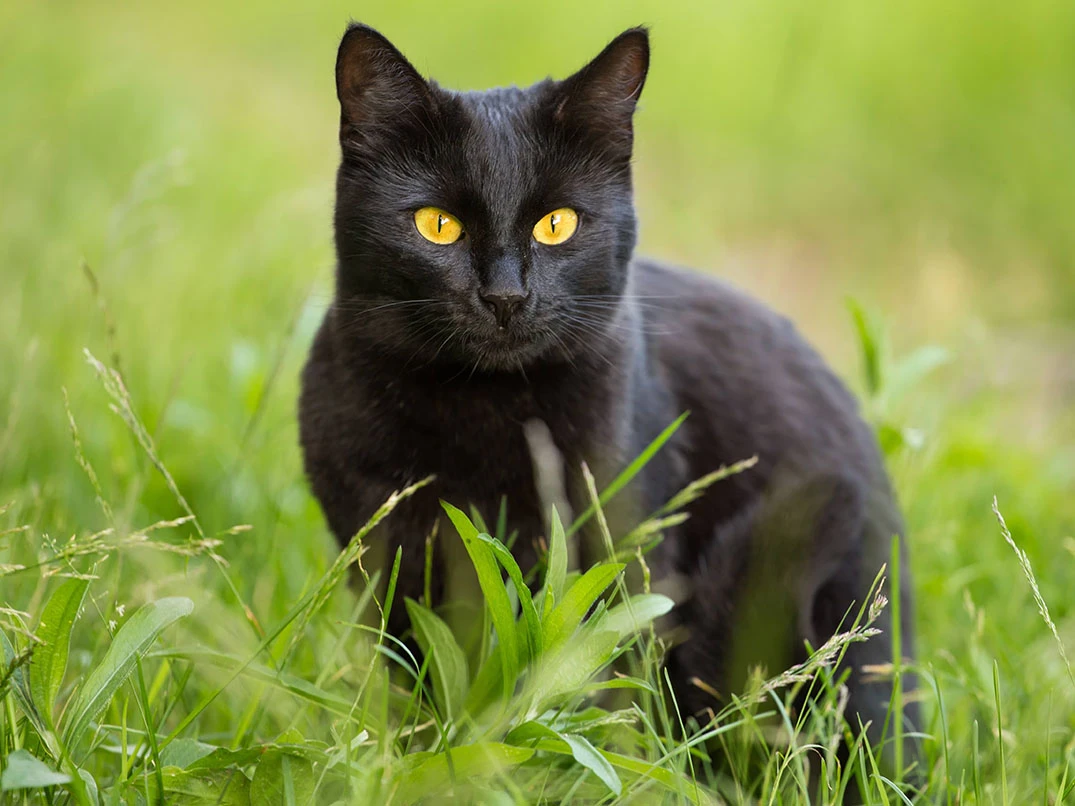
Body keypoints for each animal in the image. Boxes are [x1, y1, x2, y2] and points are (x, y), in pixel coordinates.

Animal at [301, 20, 915, 765]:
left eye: (557, 224)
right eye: (437, 225)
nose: (505, 296)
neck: (481, 415)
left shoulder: (623, 554)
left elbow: (597, 693)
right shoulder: (383, 560)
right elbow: (416, 683)